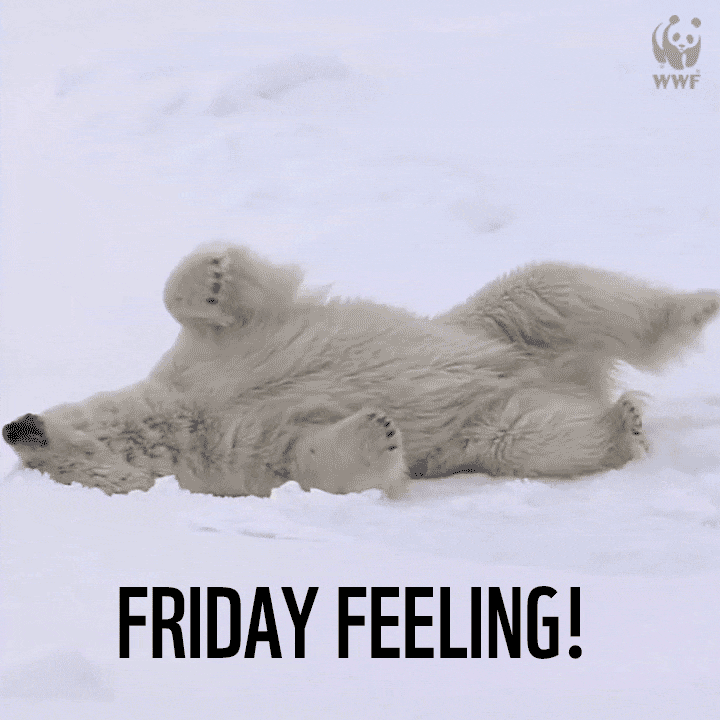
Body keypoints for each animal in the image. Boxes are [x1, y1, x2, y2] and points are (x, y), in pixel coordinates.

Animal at [3, 242, 719, 498]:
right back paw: (622, 423)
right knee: (527, 433)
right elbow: (309, 457)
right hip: (492, 419)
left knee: (558, 289)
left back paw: (696, 304)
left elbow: (211, 309)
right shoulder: (235, 459)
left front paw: (213, 275)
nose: (16, 426)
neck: (180, 418)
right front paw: (377, 427)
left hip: (493, 324)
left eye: (40, 459)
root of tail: (568, 376)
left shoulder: (207, 362)